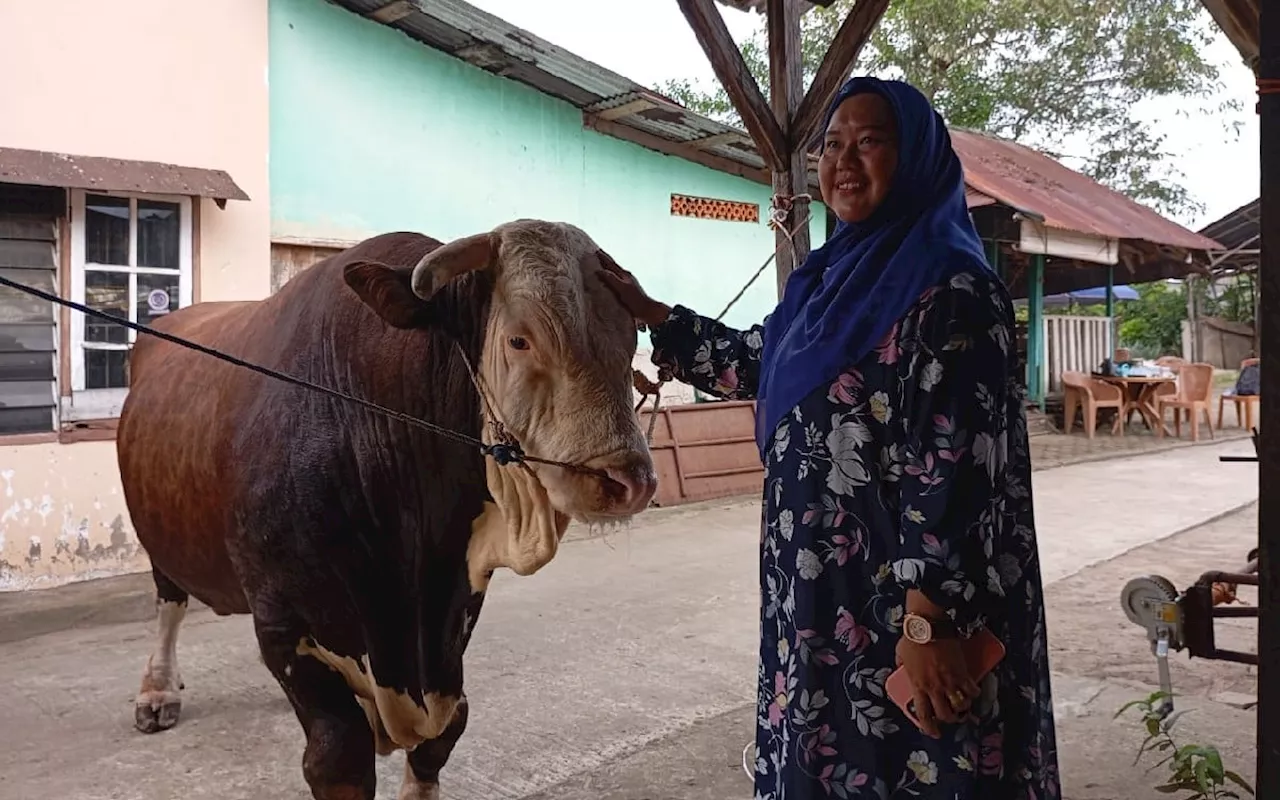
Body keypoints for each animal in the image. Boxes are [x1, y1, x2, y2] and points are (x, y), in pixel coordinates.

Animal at [117, 220, 660, 798]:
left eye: (630, 338)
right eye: (519, 338)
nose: (628, 479)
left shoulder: (452, 618)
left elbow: (441, 737)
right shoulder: (284, 623)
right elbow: (338, 754)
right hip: (160, 541)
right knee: (169, 602)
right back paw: (157, 690)